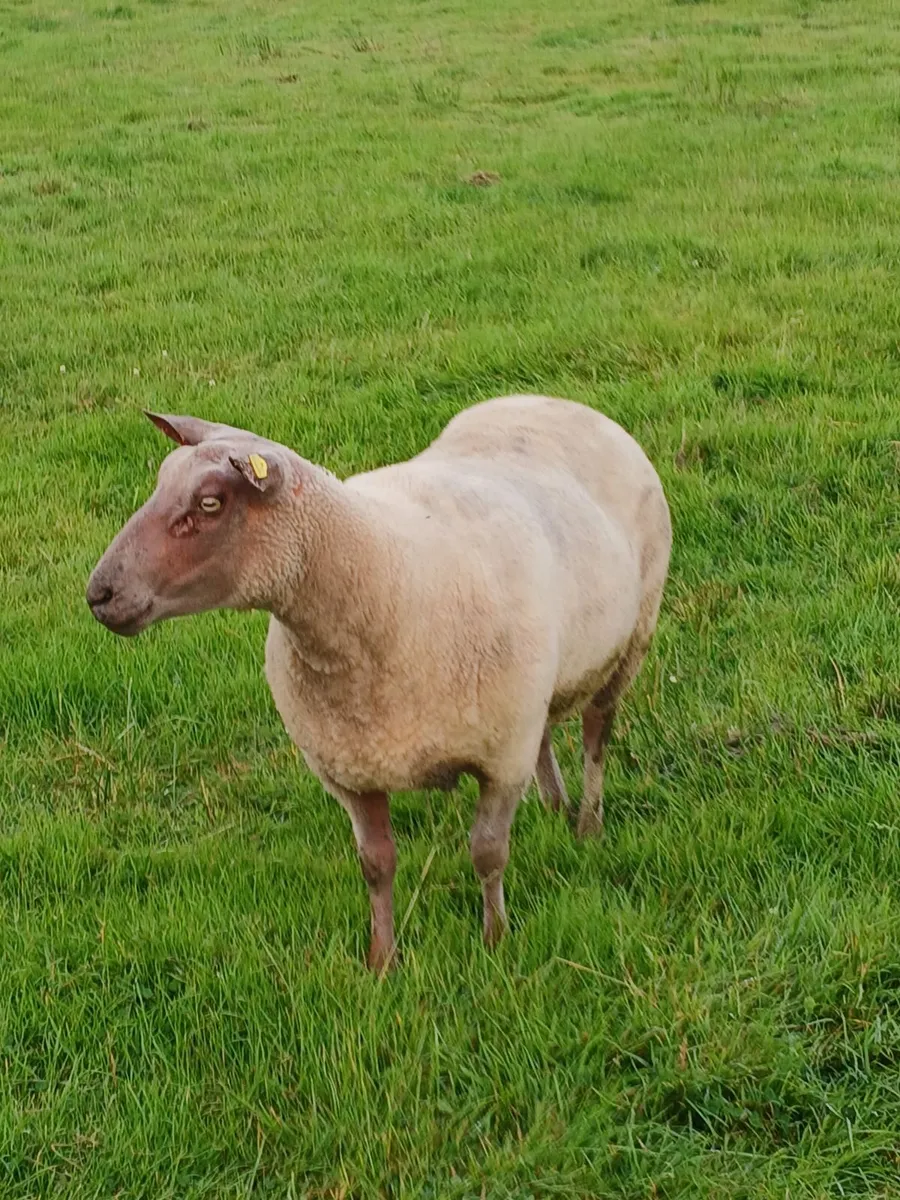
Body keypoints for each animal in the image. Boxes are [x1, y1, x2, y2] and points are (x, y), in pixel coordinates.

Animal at [87, 394, 671, 971]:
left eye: (210, 504)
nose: (98, 593)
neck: (383, 573)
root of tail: (555, 400)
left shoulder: (501, 760)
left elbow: (487, 853)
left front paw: (494, 942)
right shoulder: (350, 769)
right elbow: (376, 864)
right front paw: (382, 960)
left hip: (632, 638)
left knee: (596, 734)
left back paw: (587, 824)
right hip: (540, 683)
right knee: (548, 726)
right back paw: (554, 804)